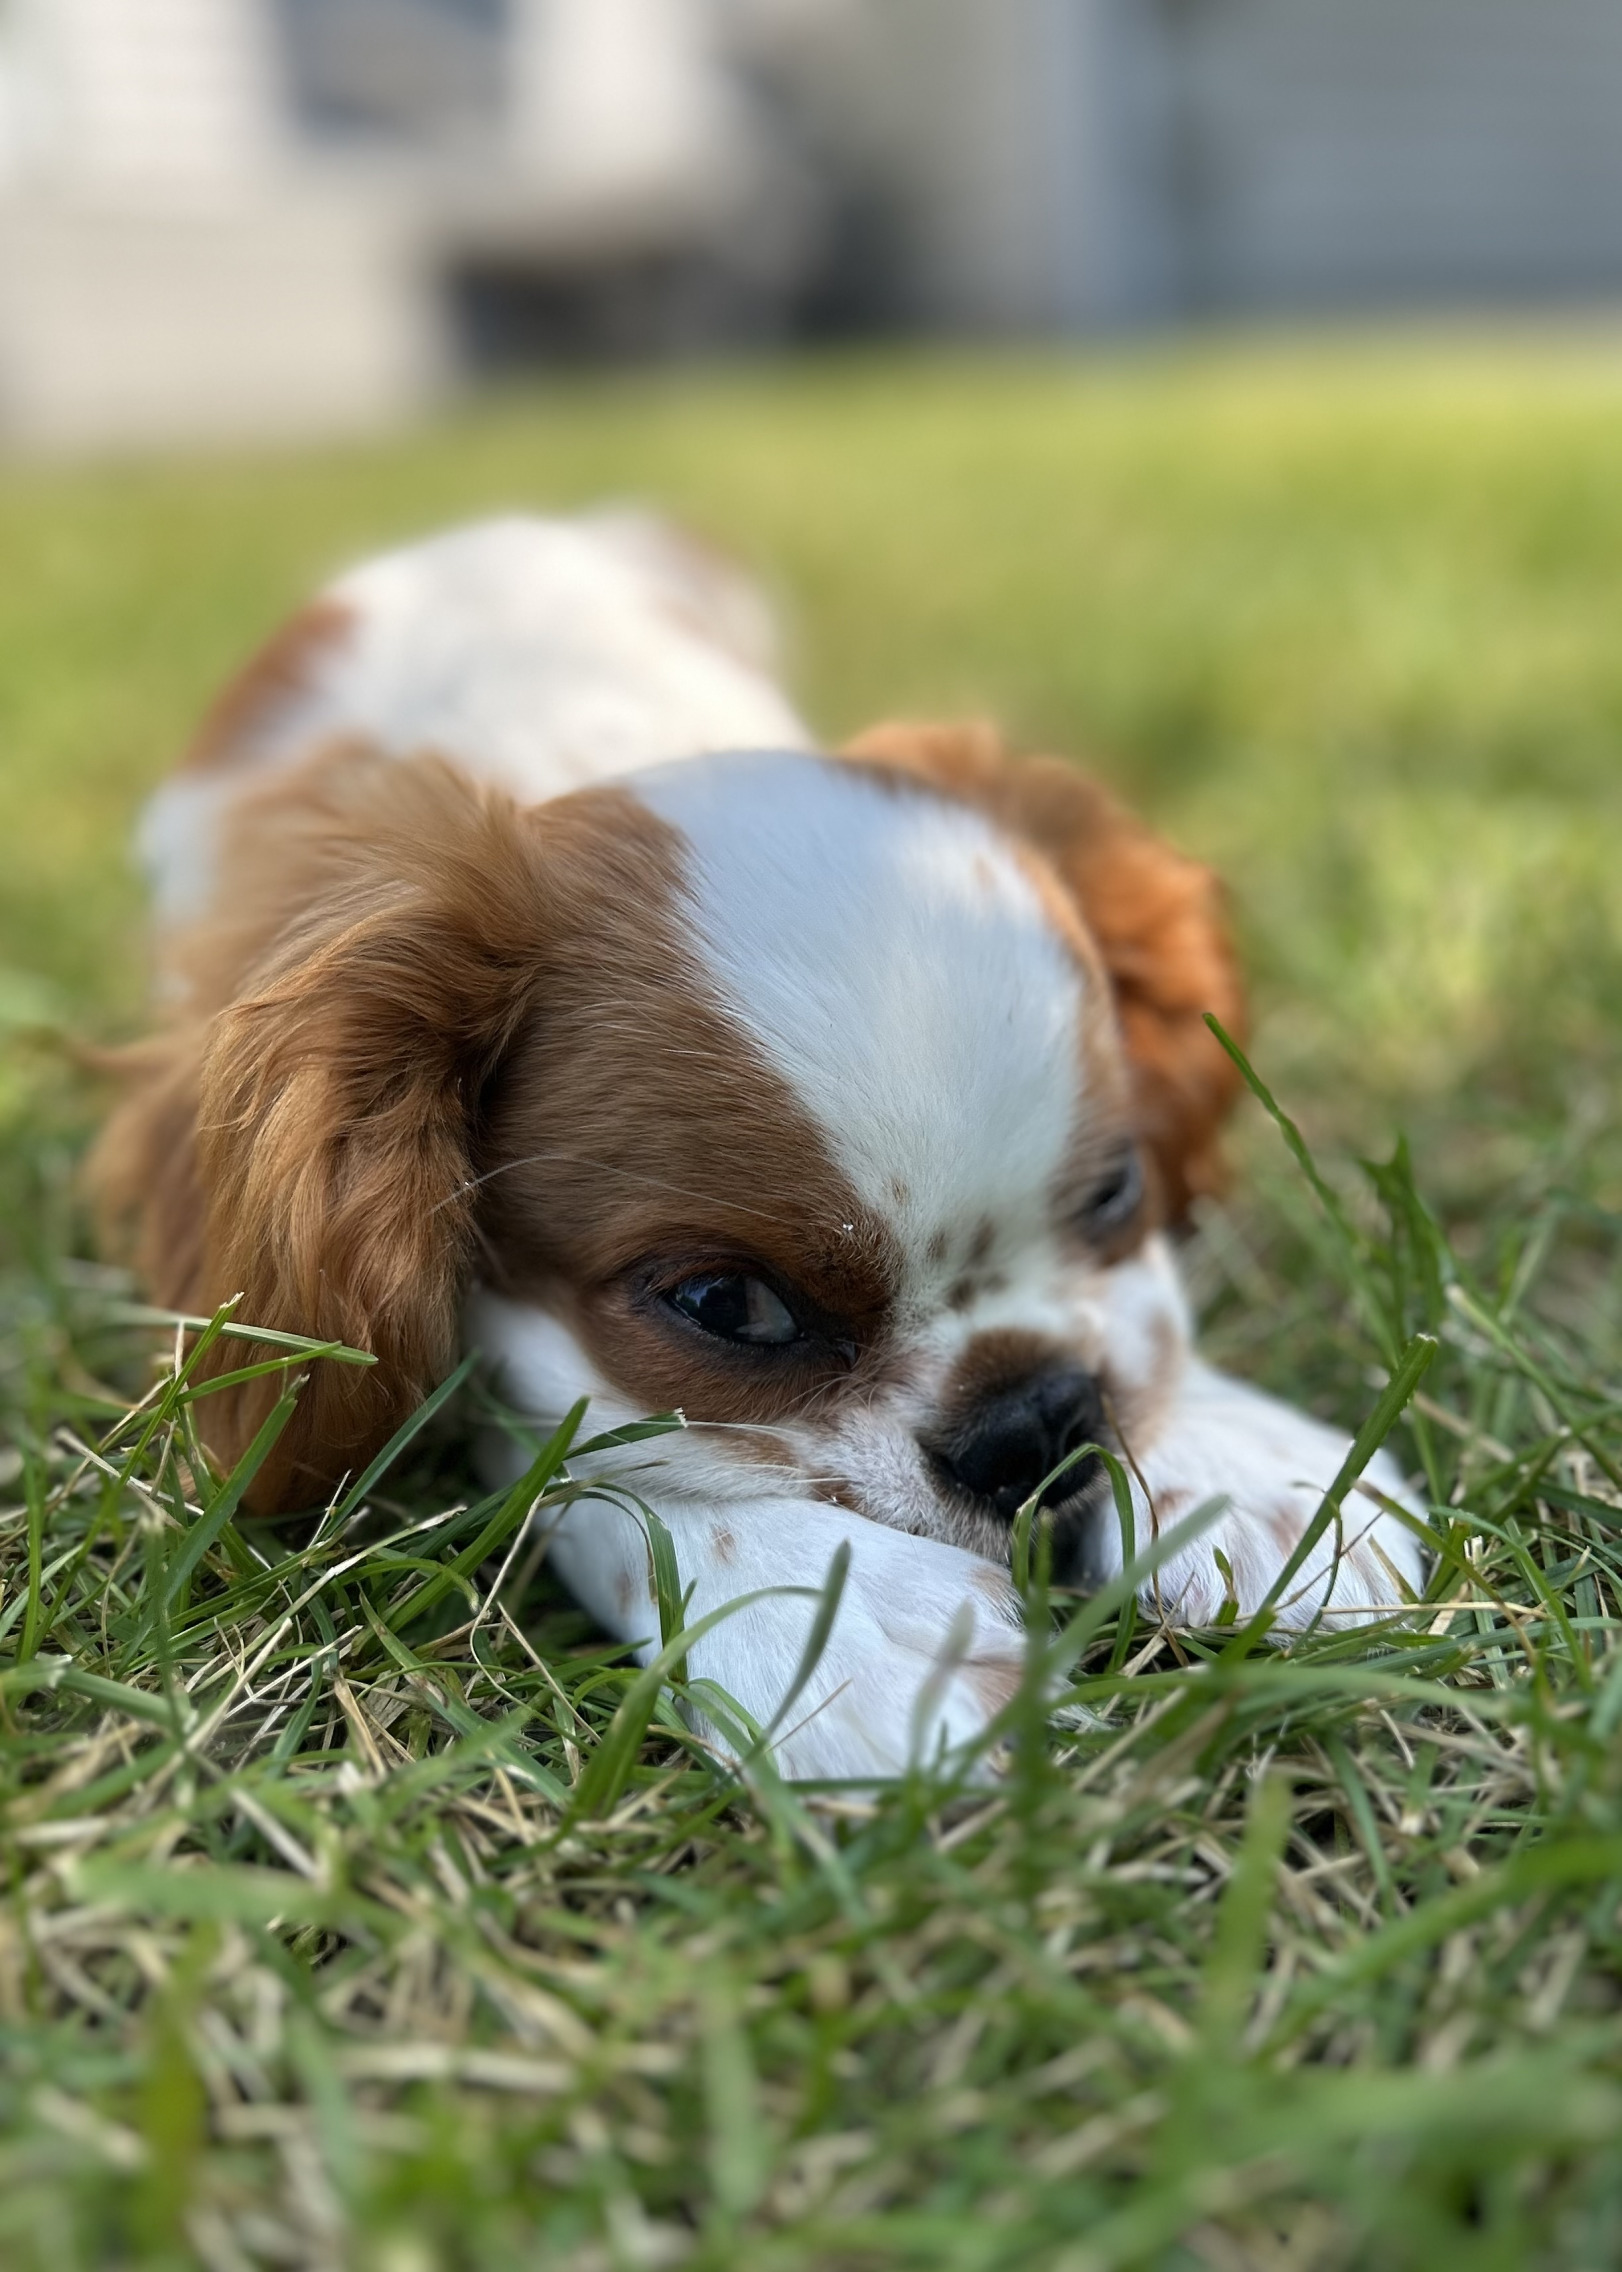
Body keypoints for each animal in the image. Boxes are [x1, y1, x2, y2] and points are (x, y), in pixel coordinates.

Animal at [94, 511, 1417, 1772]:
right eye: (729, 1306)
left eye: (1114, 1188)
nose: (1038, 1423)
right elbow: (577, 1439)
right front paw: (832, 1614)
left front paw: (1238, 1459)